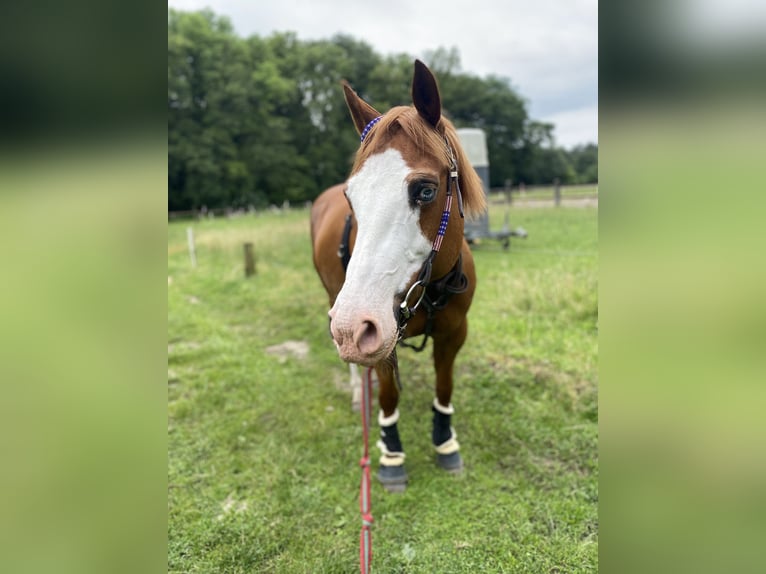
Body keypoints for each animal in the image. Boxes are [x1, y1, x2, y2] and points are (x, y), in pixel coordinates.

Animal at [310, 59, 486, 496]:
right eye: (352, 198)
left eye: (426, 191)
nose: (351, 326)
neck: (433, 287)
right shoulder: (377, 338)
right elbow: (389, 396)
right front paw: (391, 454)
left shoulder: (455, 332)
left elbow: (444, 386)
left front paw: (445, 443)